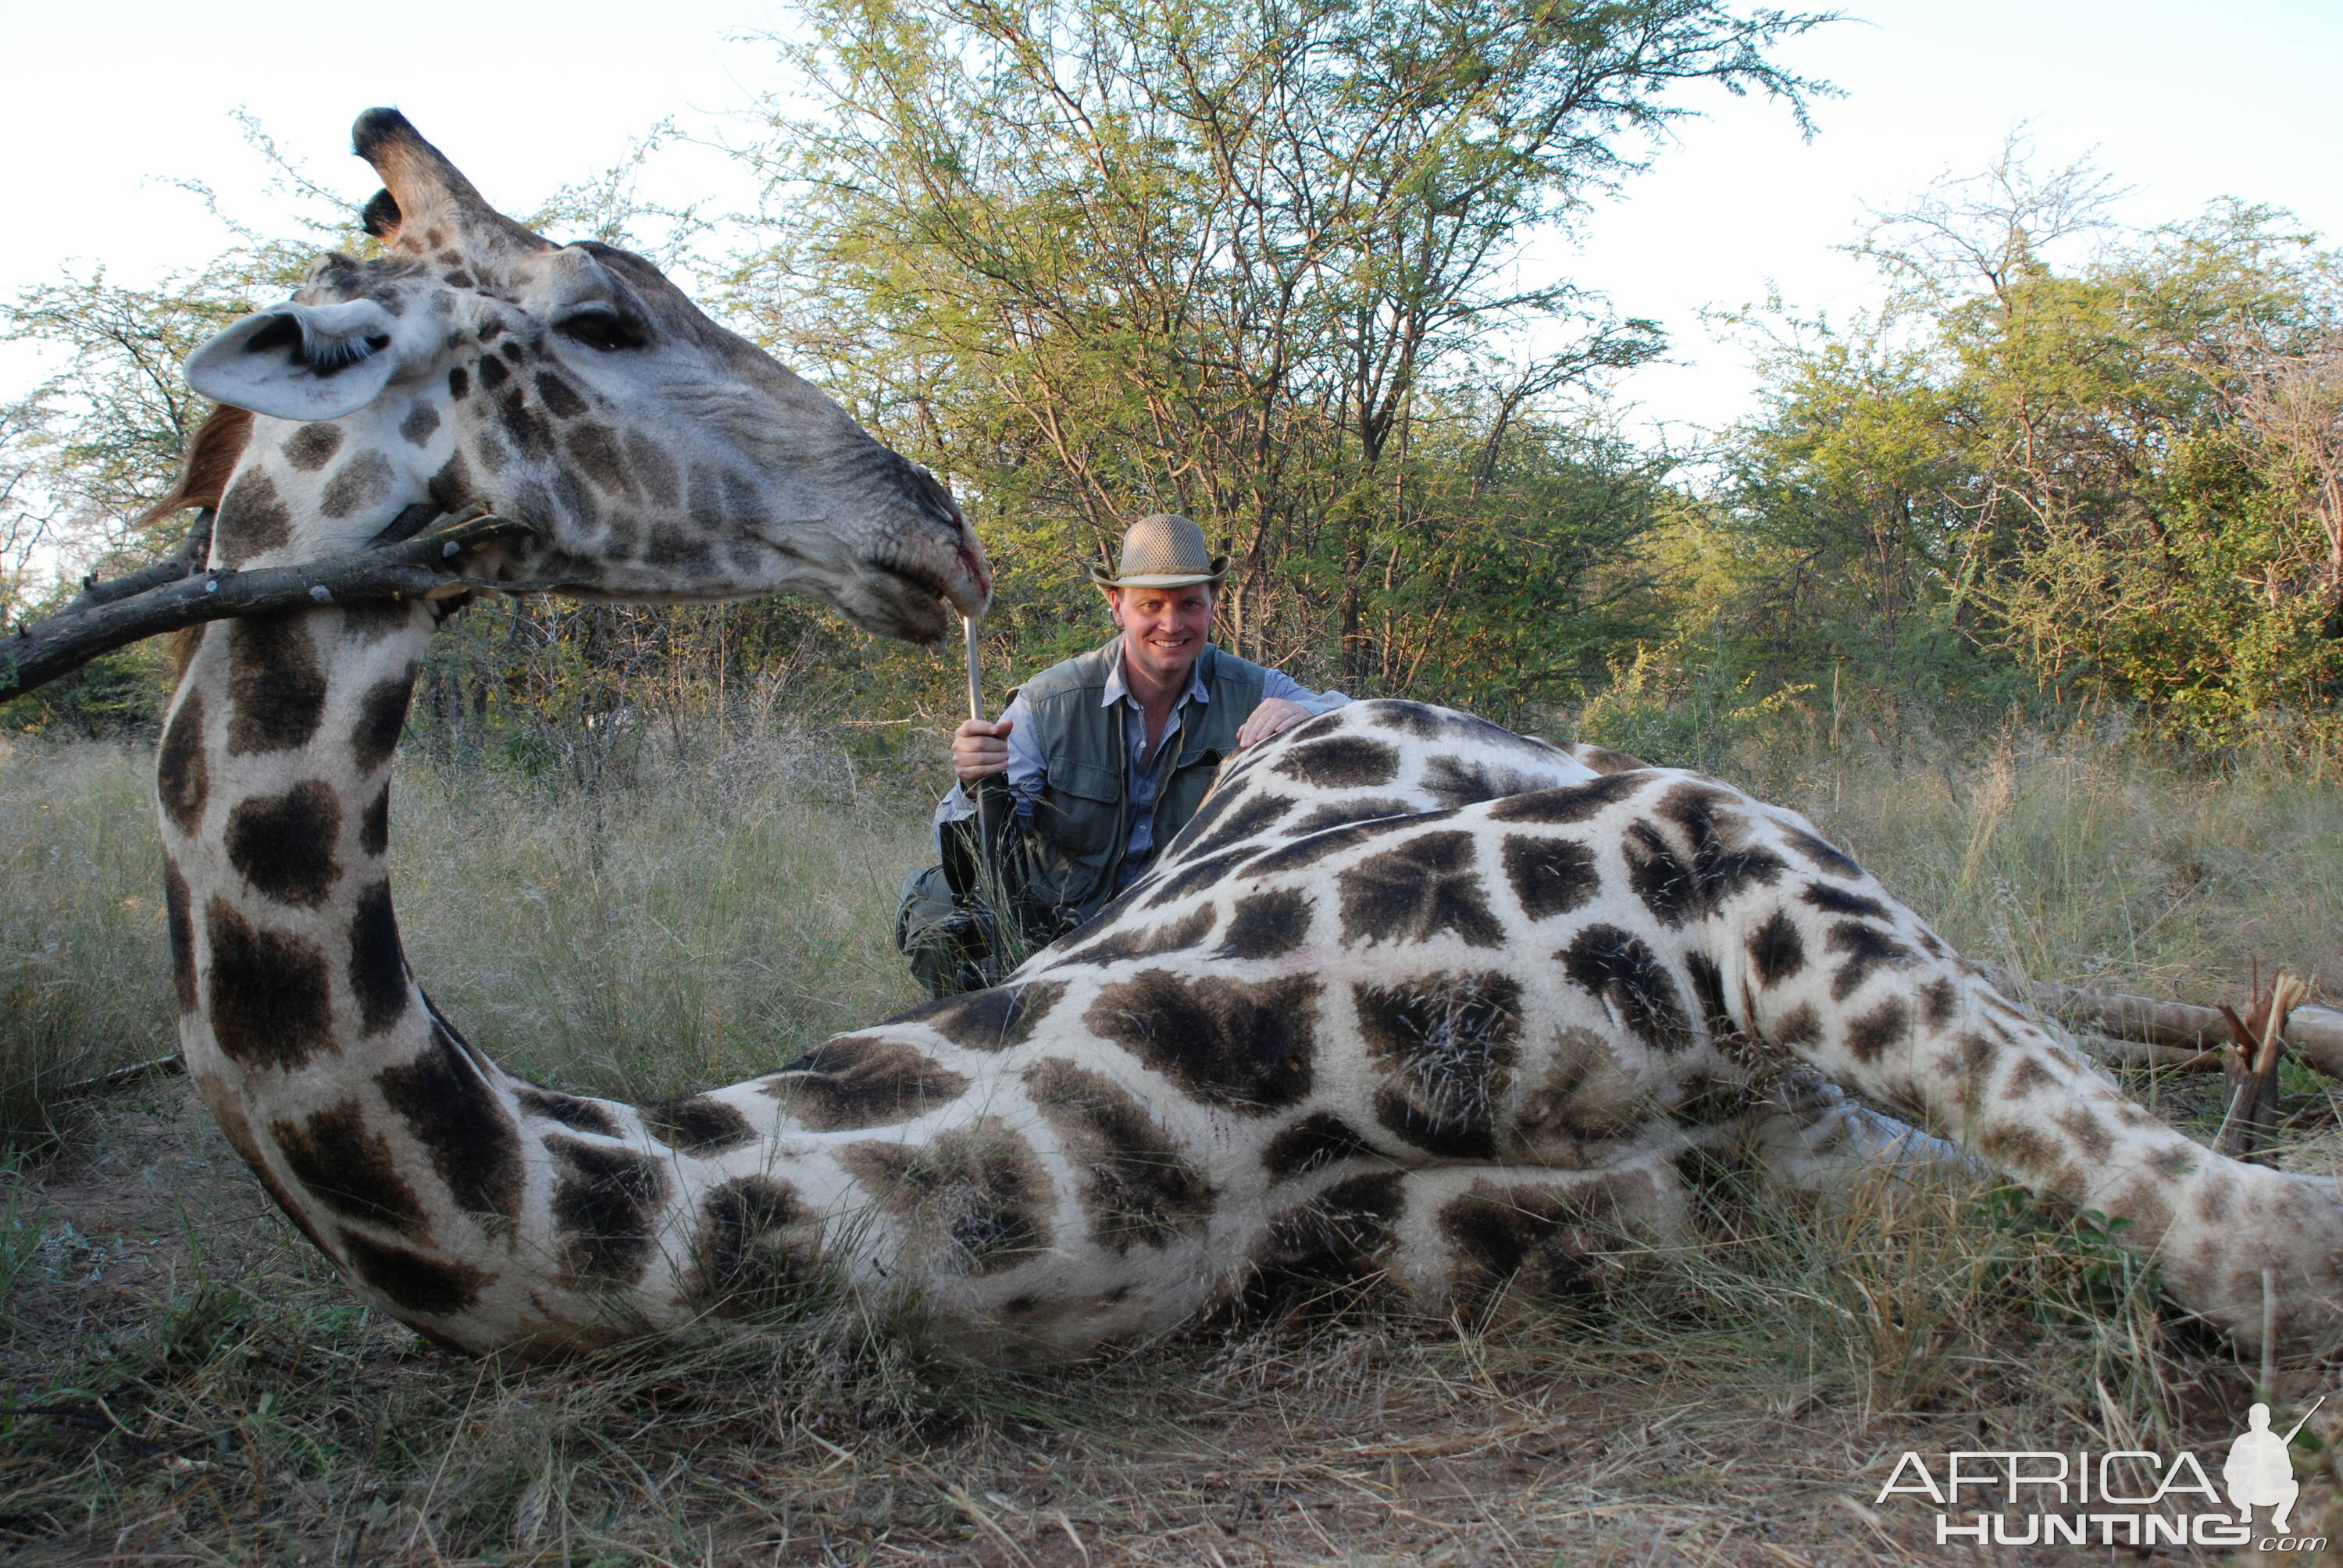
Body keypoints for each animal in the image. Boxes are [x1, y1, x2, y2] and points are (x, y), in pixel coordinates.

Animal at [160, 110, 2343, 1359]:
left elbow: (2263, 1237)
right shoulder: (1698, 1179)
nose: (925, 513)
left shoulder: (1702, 841)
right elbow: (2183, 1222)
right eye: (603, 316)